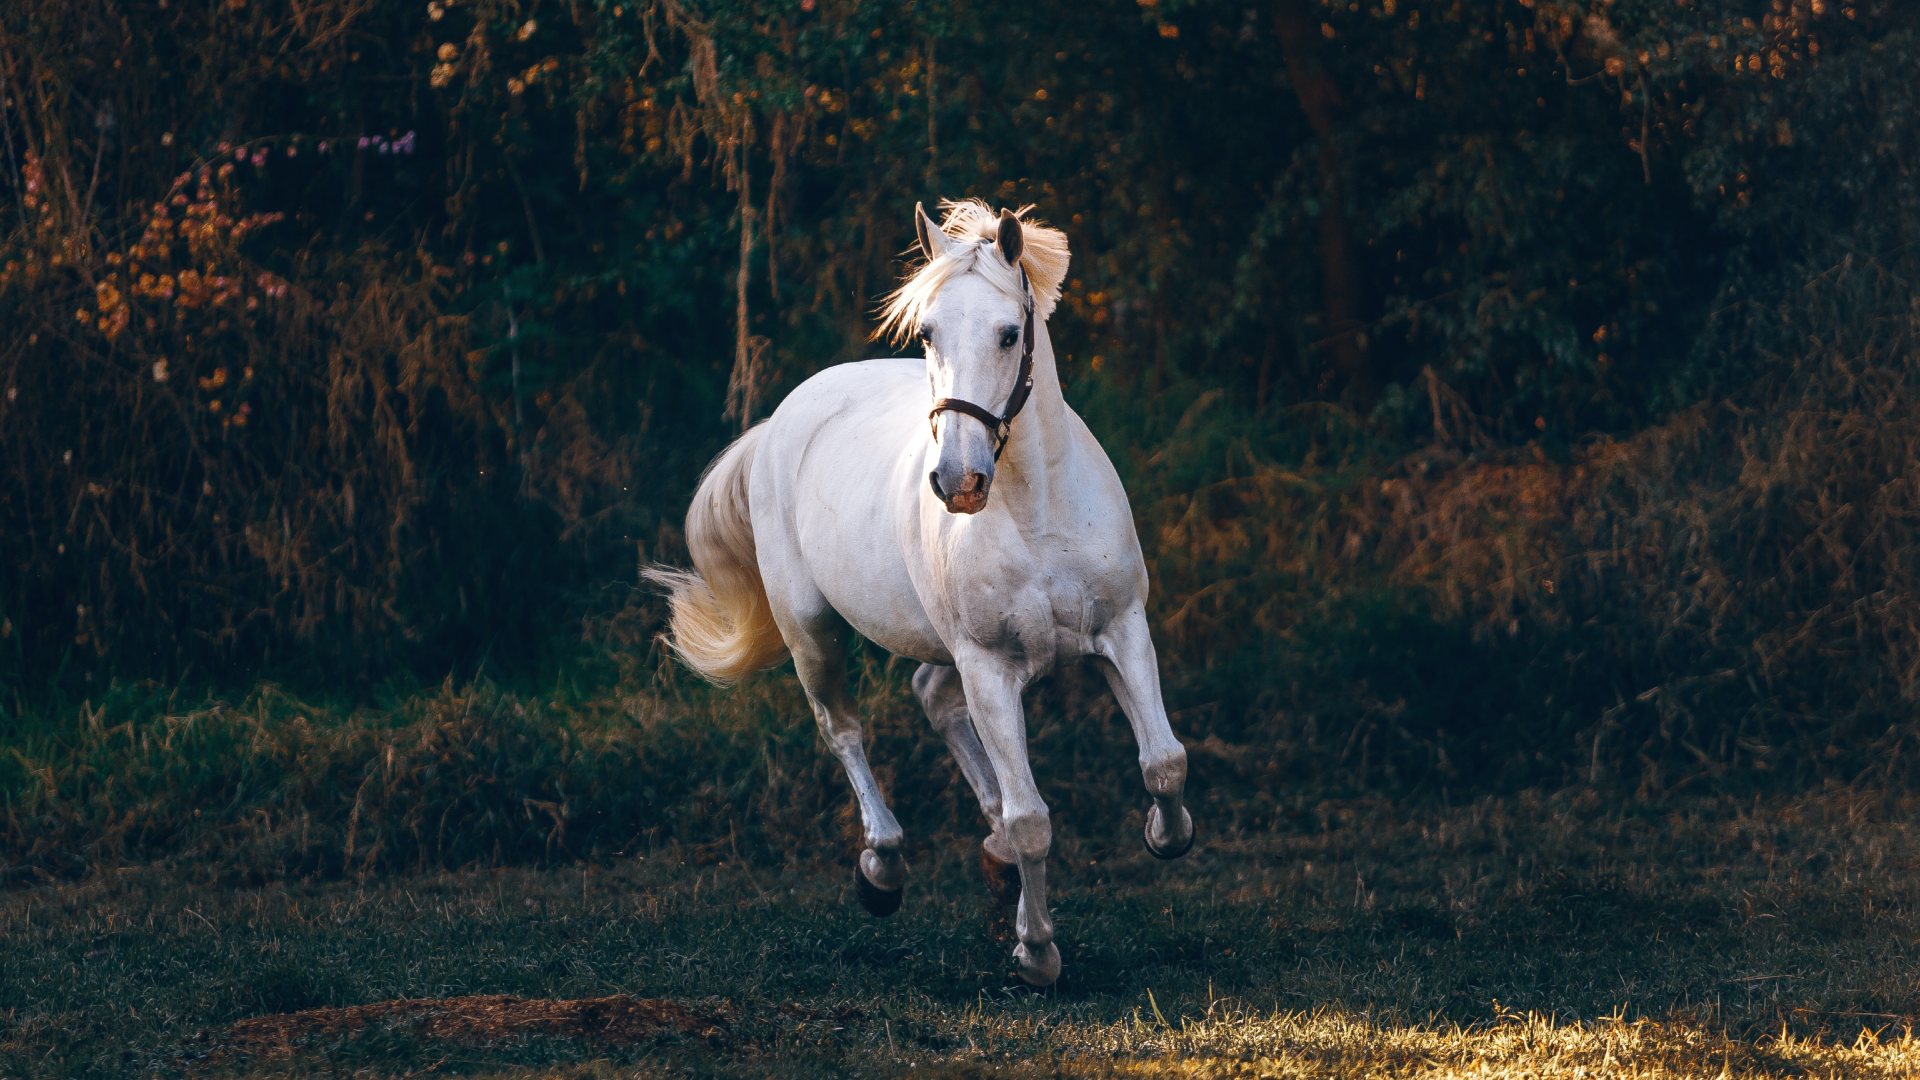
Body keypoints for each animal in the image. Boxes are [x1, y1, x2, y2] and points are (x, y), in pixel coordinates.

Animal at [648, 195, 1182, 983]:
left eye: (1009, 333)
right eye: (927, 333)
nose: (958, 482)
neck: (1037, 510)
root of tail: (784, 418)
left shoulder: (1122, 629)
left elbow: (1164, 764)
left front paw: (1161, 834)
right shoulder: (989, 667)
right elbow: (1031, 817)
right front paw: (1037, 952)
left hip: (940, 644)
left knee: (931, 697)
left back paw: (989, 859)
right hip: (813, 631)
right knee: (843, 729)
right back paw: (883, 868)